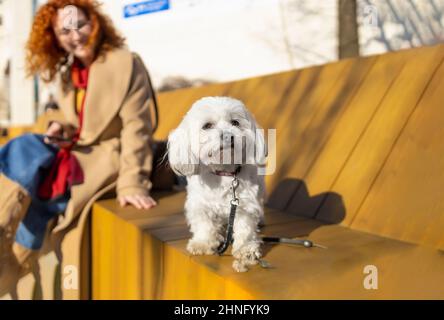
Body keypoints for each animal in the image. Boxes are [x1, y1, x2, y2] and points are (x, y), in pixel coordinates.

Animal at [166, 96, 264, 272]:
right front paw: (203, 243)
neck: (224, 172)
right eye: (207, 126)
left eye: (235, 122)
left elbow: (245, 228)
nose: (228, 135)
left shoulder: (245, 205)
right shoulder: (199, 204)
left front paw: (246, 249)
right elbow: (204, 224)